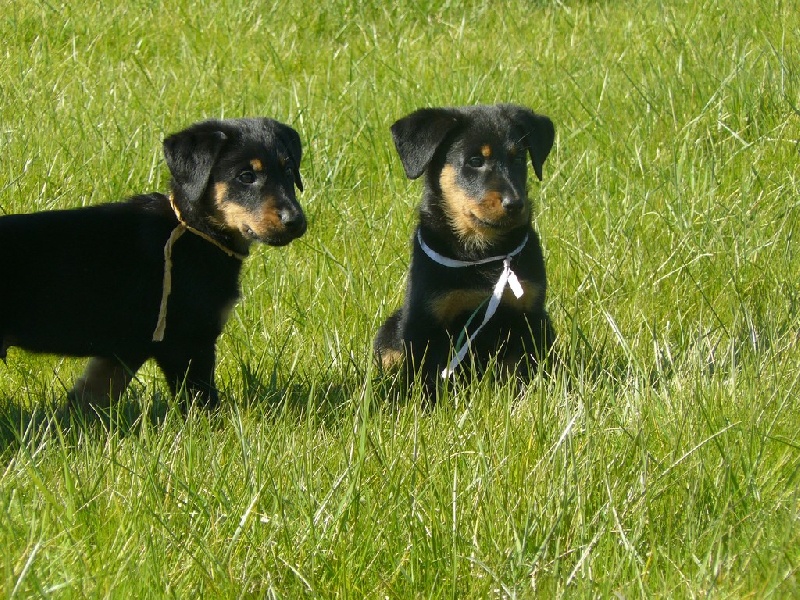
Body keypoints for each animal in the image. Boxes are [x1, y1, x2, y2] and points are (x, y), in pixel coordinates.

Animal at [0, 116, 306, 412]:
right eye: (246, 176)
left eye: (289, 171)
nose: (295, 221)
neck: (195, 230)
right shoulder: (187, 340)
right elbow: (203, 401)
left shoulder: (126, 348)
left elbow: (92, 394)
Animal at [376, 105, 556, 396]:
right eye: (474, 161)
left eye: (519, 158)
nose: (515, 204)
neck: (482, 254)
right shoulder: (426, 320)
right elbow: (424, 380)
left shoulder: (527, 317)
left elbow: (519, 374)